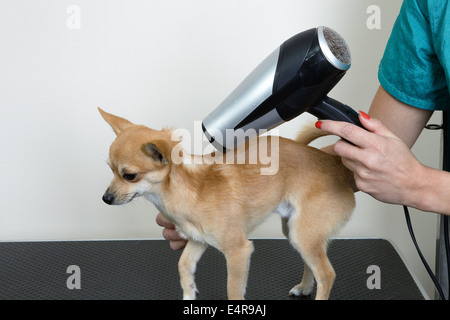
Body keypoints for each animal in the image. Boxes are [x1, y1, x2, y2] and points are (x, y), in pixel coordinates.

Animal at [99, 108, 356, 300]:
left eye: (129, 176)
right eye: (110, 170)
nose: (105, 198)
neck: (187, 188)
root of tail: (337, 164)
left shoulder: (238, 252)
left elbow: (233, 291)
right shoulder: (198, 240)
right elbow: (184, 265)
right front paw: (189, 293)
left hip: (303, 233)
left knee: (326, 274)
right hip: (295, 230)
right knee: (311, 264)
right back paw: (304, 287)